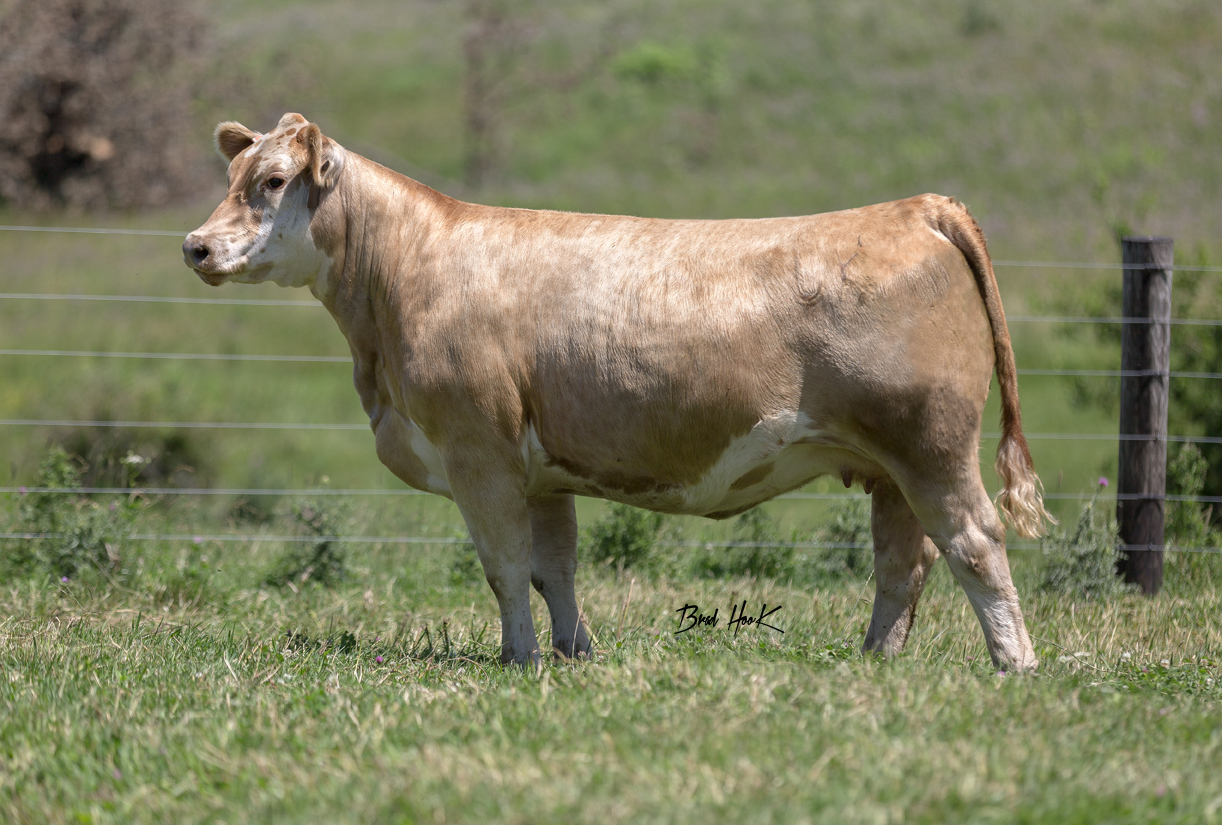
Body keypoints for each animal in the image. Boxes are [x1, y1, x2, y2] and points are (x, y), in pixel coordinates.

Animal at [184, 113, 1051, 672]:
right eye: (228, 178)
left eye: (273, 180)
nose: (195, 245)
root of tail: (915, 207)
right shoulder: (540, 469)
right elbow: (552, 567)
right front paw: (572, 654)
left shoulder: (477, 452)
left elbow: (504, 565)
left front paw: (519, 658)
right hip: (888, 465)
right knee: (904, 559)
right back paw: (875, 661)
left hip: (931, 445)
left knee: (974, 541)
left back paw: (1015, 661)